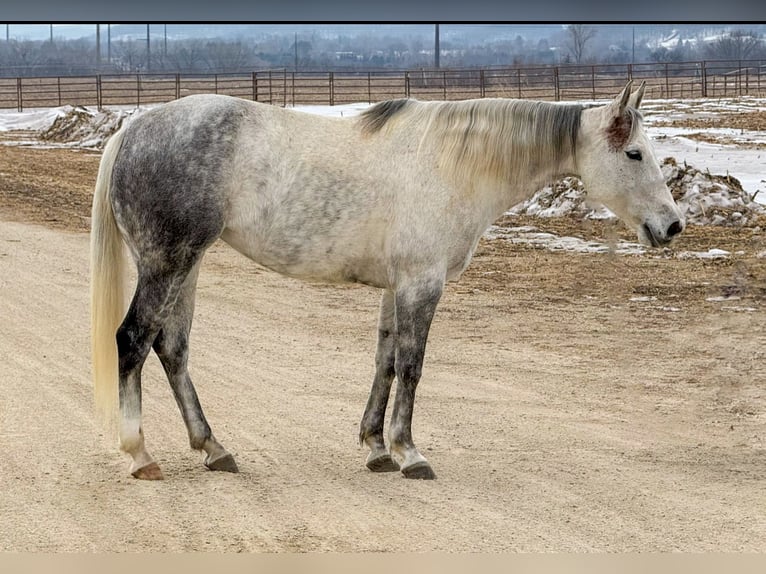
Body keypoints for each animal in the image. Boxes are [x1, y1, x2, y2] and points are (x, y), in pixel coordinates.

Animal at [90, 80, 684, 480]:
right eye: (634, 154)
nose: (672, 225)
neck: (454, 164)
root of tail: (134, 129)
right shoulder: (423, 283)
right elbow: (412, 365)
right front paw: (408, 452)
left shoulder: (395, 288)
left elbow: (385, 360)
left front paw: (376, 447)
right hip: (168, 263)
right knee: (133, 341)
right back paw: (140, 454)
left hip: (186, 266)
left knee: (172, 349)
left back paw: (213, 447)